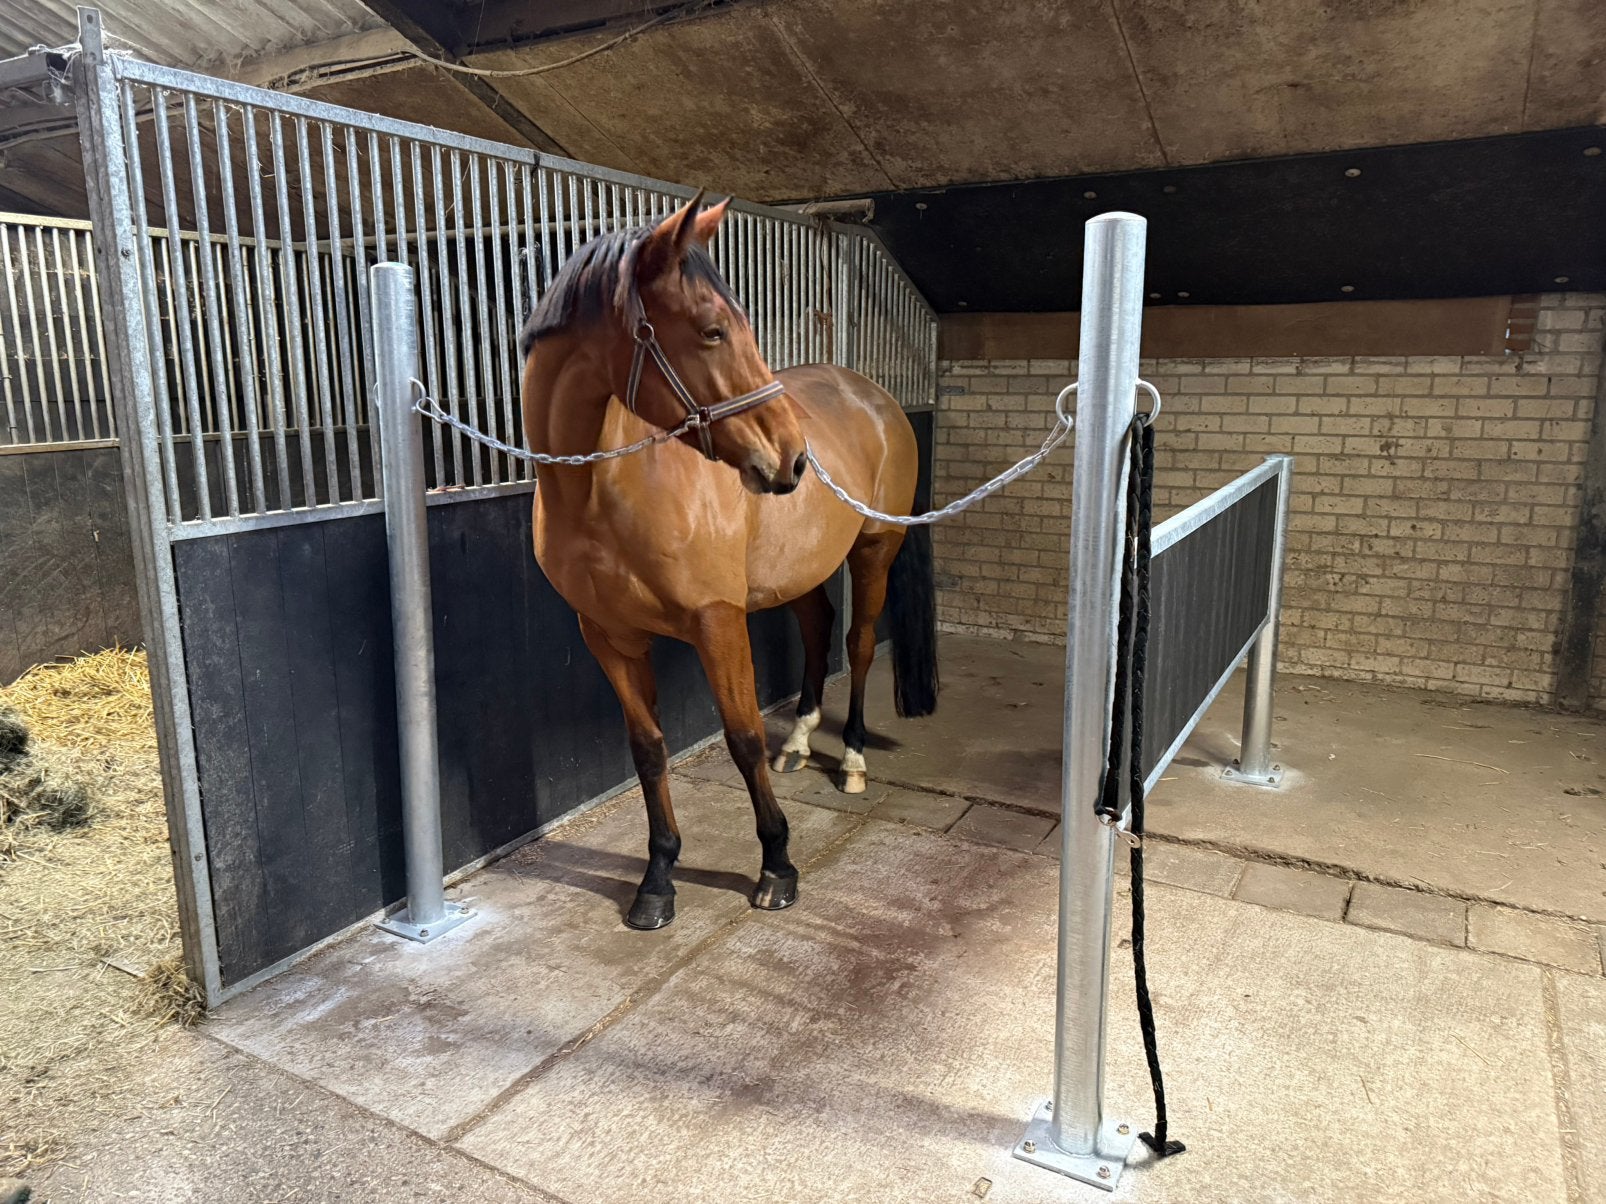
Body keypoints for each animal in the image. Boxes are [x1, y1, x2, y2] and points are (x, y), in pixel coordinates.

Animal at [519, 192, 938, 930]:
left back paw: (852, 759)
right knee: (817, 626)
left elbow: (742, 737)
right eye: (712, 331)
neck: (604, 489)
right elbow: (648, 749)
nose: (794, 460)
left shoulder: (718, 623)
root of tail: (874, 396)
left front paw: (778, 865)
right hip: (798, 570)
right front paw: (658, 878)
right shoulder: (608, 638)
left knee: (858, 645)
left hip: (874, 553)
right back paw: (799, 741)